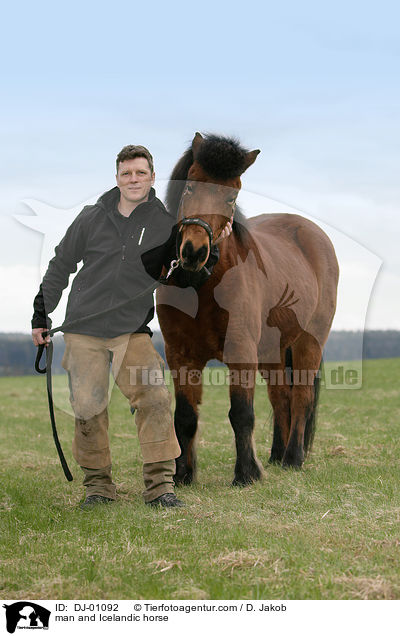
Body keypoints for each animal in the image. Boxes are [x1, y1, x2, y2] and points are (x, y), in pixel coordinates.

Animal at [158, 132, 340, 484]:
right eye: (189, 187)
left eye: (231, 197)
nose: (193, 252)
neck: (203, 285)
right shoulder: (180, 355)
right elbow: (185, 415)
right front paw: (183, 475)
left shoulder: (241, 351)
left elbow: (241, 413)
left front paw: (246, 474)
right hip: (272, 350)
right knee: (281, 397)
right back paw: (277, 456)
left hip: (308, 343)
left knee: (301, 398)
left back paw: (294, 458)